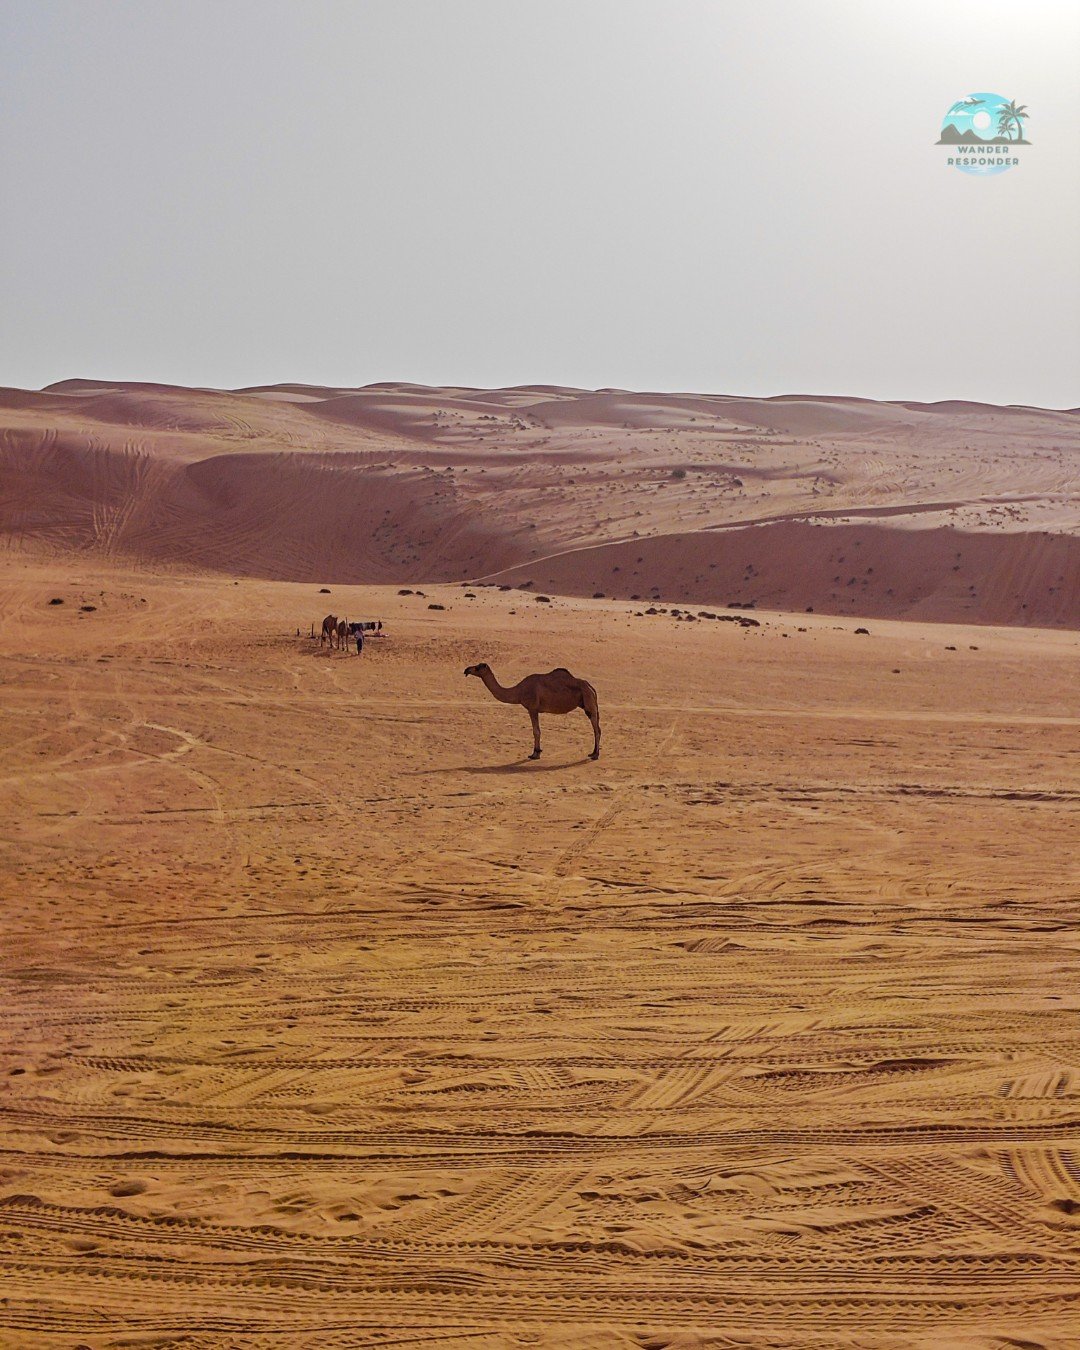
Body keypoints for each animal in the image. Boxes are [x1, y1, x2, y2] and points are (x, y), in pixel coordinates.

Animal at [464, 663, 601, 760]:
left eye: (477, 667)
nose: (466, 670)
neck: (519, 691)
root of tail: (591, 687)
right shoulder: (534, 709)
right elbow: (537, 730)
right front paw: (537, 752)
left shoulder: (532, 708)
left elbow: (536, 731)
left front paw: (535, 754)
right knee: (596, 728)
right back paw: (592, 753)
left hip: (589, 702)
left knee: (597, 729)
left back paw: (595, 755)